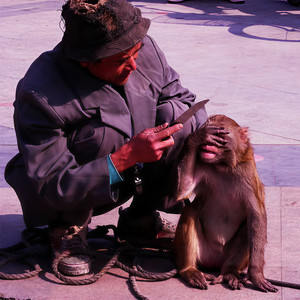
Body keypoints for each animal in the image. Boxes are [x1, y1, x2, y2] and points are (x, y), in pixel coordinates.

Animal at [175, 113, 278, 292]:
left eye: (220, 136)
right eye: (212, 133)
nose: (207, 144)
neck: (222, 165)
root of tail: (214, 262)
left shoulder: (247, 173)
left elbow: (256, 217)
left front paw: (256, 275)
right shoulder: (201, 164)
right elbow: (183, 189)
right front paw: (198, 136)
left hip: (225, 257)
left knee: (248, 226)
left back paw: (230, 272)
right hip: (204, 252)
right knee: (190, 210)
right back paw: (189, 270)